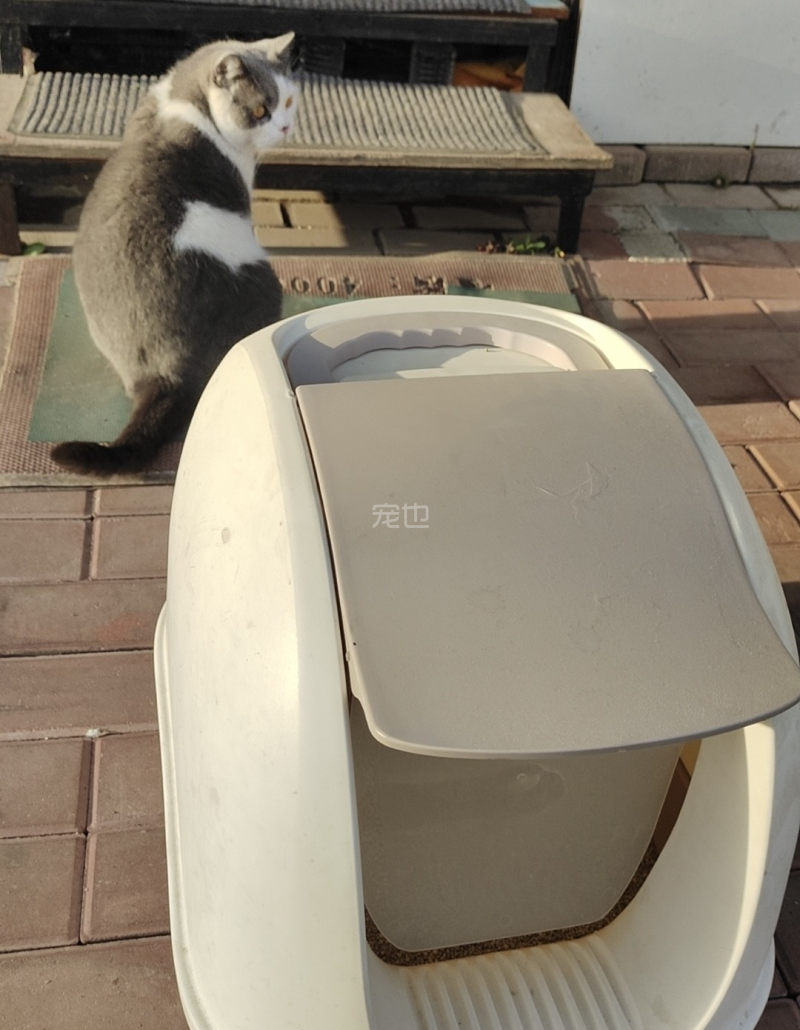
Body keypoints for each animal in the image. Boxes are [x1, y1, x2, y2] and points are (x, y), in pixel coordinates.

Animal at [51, 34, 298, 476]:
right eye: (259, 111)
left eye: (288, 101)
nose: (284, 127)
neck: (184, 97)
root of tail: (163, 372)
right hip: (262, 277)